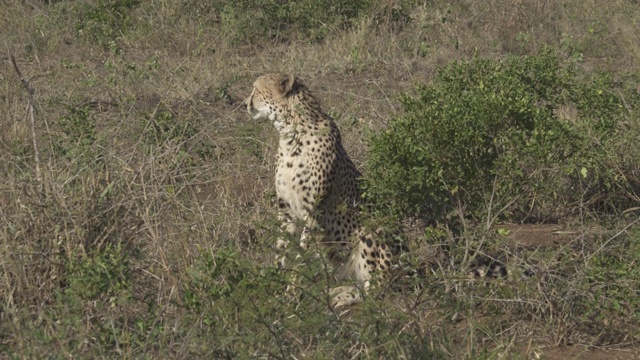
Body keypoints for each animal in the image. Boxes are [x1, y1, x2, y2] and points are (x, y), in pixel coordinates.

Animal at [245, 72, 392, 306]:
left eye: (256, 90)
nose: (244, 103)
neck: (291, 133)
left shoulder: (313, 212)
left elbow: (301, 257)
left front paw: (291, 296)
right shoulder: (285, 211)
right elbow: (281, 250)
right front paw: (276, 289)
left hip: (373, 230)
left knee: (375, 294)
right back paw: (335, 293)